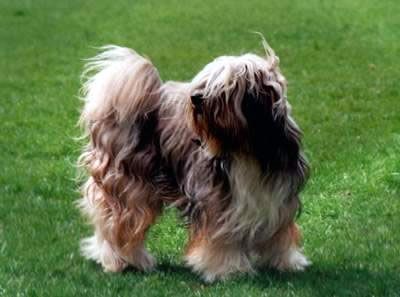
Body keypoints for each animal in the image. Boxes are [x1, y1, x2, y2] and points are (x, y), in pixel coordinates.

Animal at [77, 41, 310, 280]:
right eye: (205, 82)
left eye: (227, 86)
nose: (196, 98)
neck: (246, 148)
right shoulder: (217, 203)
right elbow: (221, 238)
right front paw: (226, 269)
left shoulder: (277, 197)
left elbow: (279, 234)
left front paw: (285, 262)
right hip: (129, 186)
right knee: (118, 225)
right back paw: (122, 261)